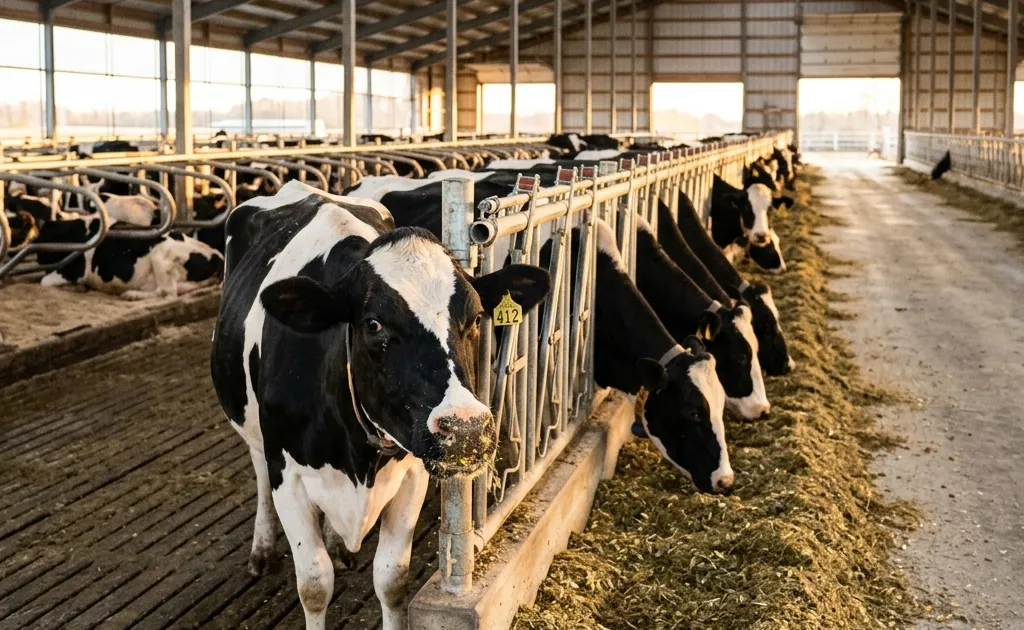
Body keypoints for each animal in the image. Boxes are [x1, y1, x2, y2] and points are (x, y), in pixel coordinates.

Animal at [209, 180, 551, 630]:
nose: (465, 431)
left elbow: (391, 579)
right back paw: (263, 549)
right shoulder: (289, 474)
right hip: (250, 423)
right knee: (258, 471)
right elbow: (314, 585)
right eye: (373, 324)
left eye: (477, 316)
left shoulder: (412, 474)